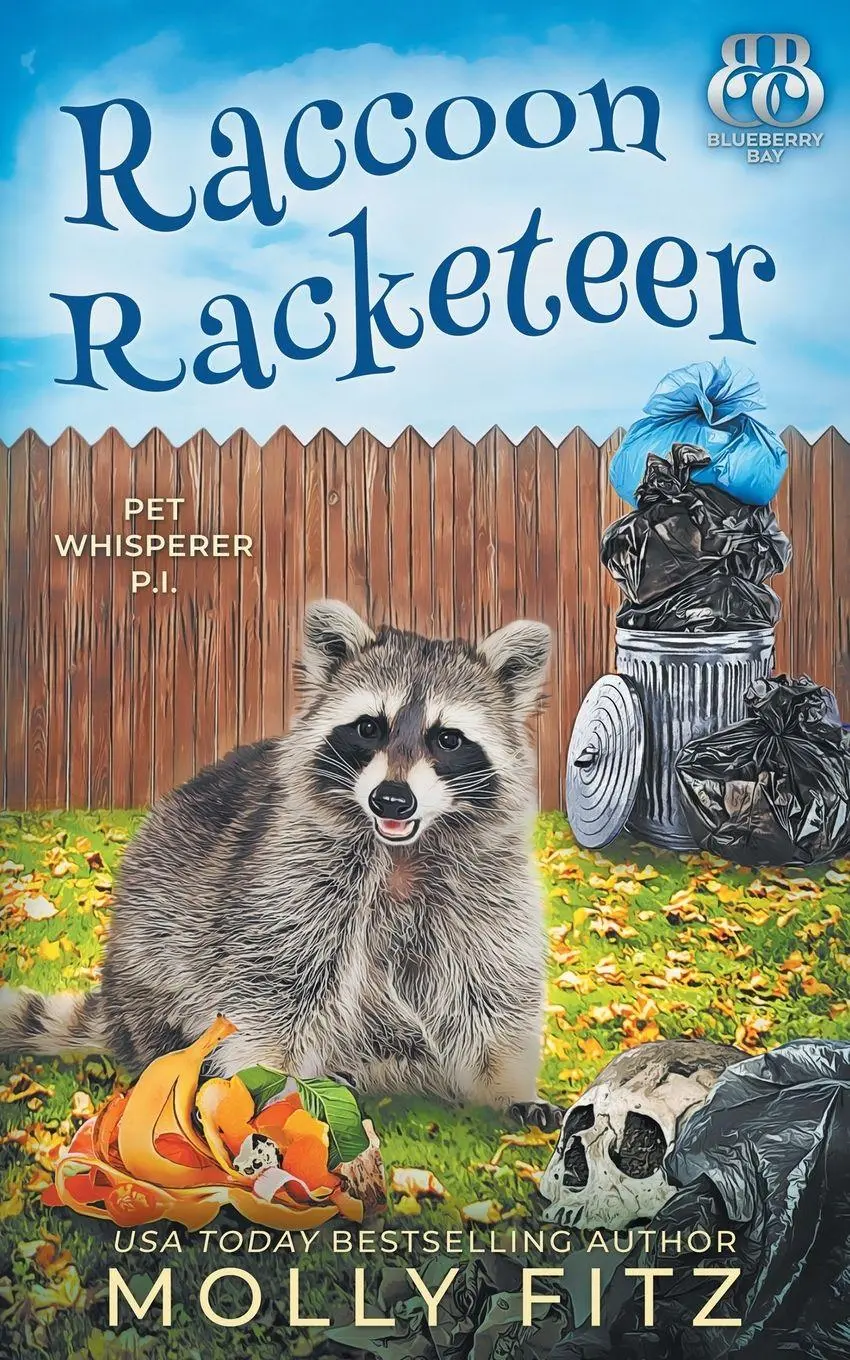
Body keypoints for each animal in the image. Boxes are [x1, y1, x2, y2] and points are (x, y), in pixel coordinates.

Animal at [1, 601, 556, 1121]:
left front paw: (505, 1084)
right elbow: (276, 982)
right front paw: (272, 1080)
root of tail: (118, 1006)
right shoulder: (291, 867)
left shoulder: (485, 878)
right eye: (369, 728)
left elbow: (492, 981)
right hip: (151, 937)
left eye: (447, 738)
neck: (401, 850)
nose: (392, 801)